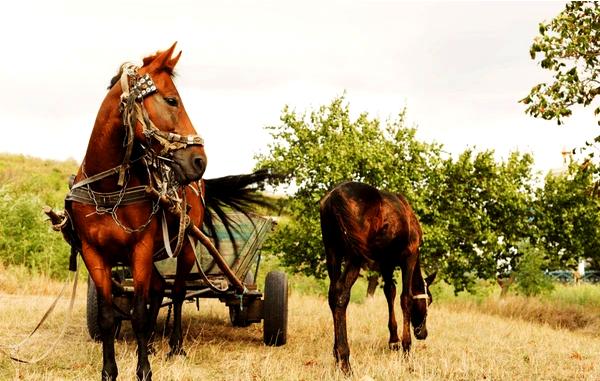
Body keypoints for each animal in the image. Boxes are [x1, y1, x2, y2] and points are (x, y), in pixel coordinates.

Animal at [65, 43, 270, 378]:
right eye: (172, 100)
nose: (200, 160)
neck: (109, 190)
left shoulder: (141, 248)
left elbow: (138, 311)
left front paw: (144, 370)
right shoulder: (94, 253)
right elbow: (109, 315)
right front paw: (110, 370)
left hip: (185, 245)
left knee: (176, 294)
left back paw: (175, 346)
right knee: (159, 290)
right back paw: (149, 343)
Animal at [318, 182, 436, 374]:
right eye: (429, 301)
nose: (423, 333)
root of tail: (333, 199)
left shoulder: (386, 262)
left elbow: (390, 291)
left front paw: (394, 340)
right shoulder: (409, 256)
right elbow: (406, 298)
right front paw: (406, 348)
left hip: (332, 252)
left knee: (332, 294)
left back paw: (336, 355)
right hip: (354, 255)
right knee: (341, 294)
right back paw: (345, 360)